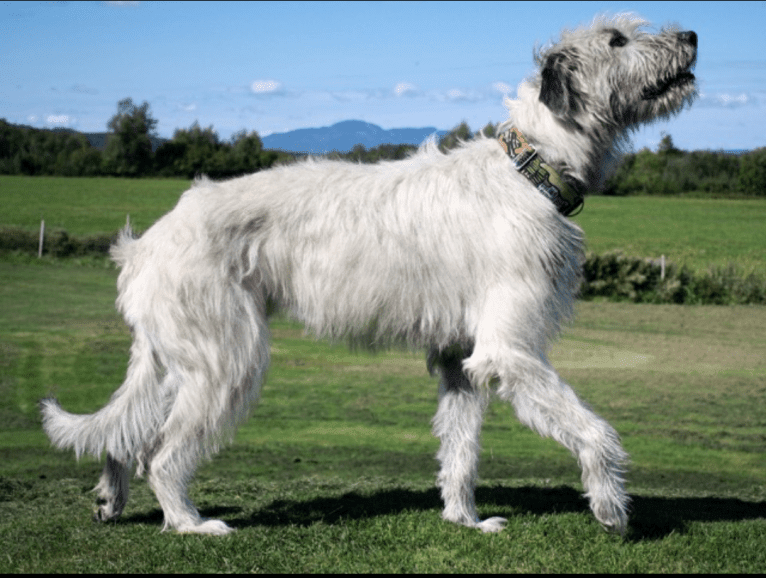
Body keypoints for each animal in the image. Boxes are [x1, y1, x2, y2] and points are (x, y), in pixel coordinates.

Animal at [42, 14, 704, 536]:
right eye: (617, 39)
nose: (695, 35)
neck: (529, 169)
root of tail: (146, 246)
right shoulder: (509, 350)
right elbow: (593, 429)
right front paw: (611, 506)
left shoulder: (460, 357)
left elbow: (460, 449)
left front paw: (464, 520)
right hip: (225, 356)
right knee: (161, 453)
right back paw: (188, 522)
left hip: (171, 355)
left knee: (123, 434)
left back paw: (111, 497)